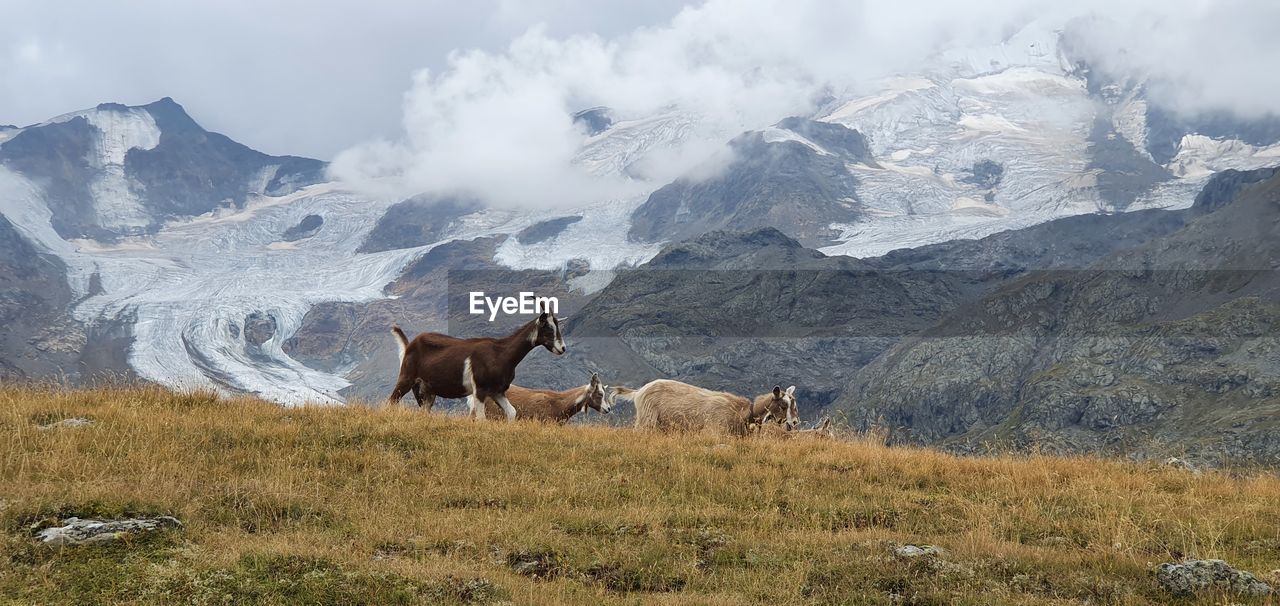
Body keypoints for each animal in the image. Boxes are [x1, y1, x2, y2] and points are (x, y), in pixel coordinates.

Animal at [386, 310, 563, 417]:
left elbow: (512, 412)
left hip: (427, 391)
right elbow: (481, 418)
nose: (562, 348)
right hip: (407, 378)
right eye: (547, 328)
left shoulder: (497, 391)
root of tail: (409, 345)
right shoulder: (480, 389)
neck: (501, 352)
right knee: (391, 401)